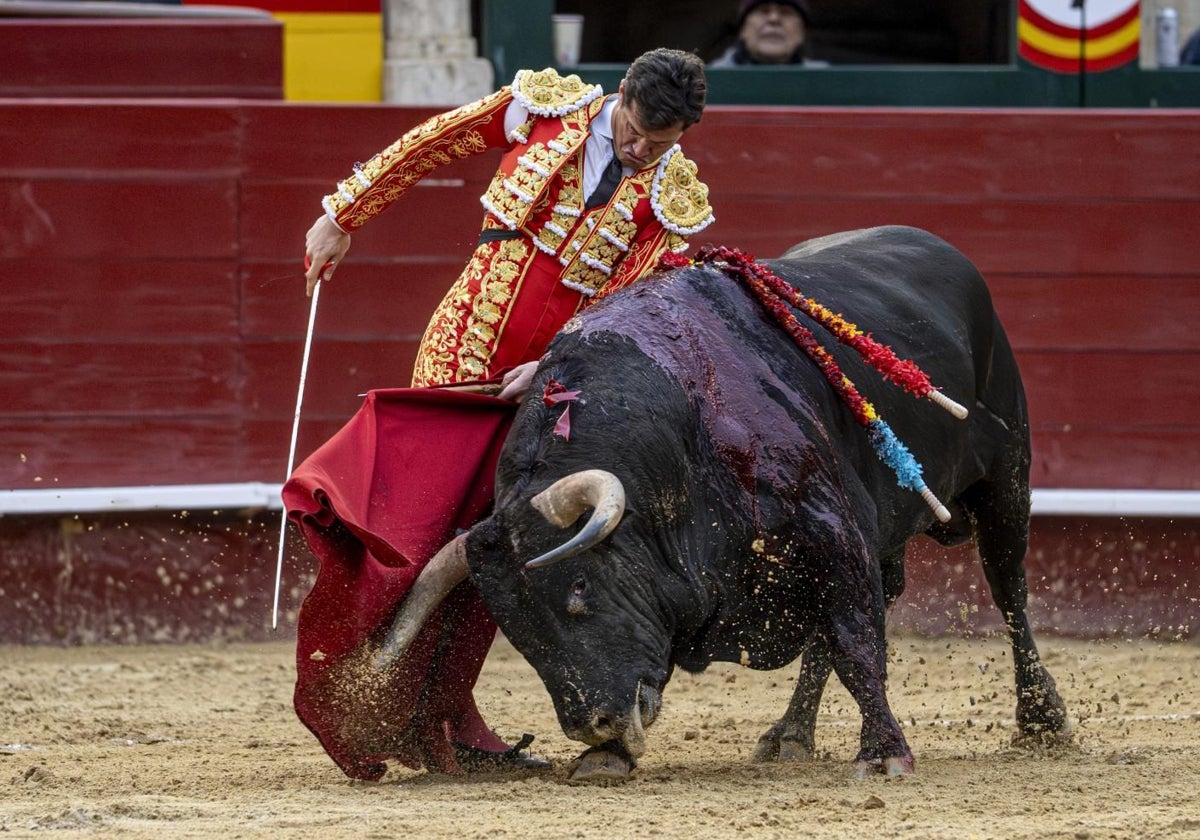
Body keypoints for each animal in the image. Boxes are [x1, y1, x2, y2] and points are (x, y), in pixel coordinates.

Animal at [381, 226, 1070, 782]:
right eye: (515, 630)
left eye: (580, 591)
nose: (594, 723)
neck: (682, 438)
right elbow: (835, 637)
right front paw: (607, 758)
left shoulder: (831, 527)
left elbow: (856, 644)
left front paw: (883, 755)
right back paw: (790, 735)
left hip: (1007, 480)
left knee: (1007, 589)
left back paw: (1043, 718)